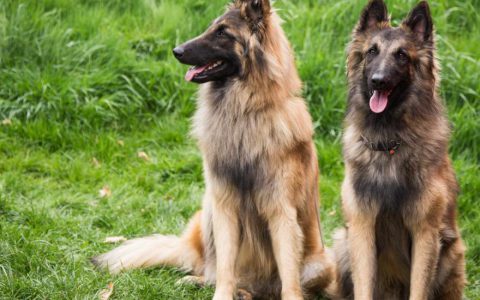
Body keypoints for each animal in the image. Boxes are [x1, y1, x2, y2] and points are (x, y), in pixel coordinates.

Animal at [93, 1, 334, 298]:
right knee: (211, 269)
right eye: (211, 28)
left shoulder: (281, 213)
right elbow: (225, 267)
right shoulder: (224, 205)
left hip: (322, 264)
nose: (176, 51)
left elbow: (289, 276)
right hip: (206, 211)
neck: (243, 112)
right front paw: (223, 293)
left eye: (223, 33)